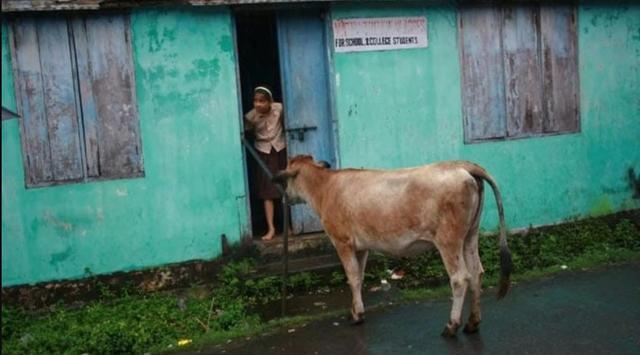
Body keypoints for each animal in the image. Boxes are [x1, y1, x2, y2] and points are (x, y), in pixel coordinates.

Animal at [272, 155, 512, 336]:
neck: (325, 188)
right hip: (470, 236)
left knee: (460, 278)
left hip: (448, 240)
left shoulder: (342, 241)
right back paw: (472, 323)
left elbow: (352, 277)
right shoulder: (362, 246)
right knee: (476, 272)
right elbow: (358, 278)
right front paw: (355, 310)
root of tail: (461, 165)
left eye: (286, 179)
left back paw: (451, 326)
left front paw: (357, 315)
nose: (284, 198)